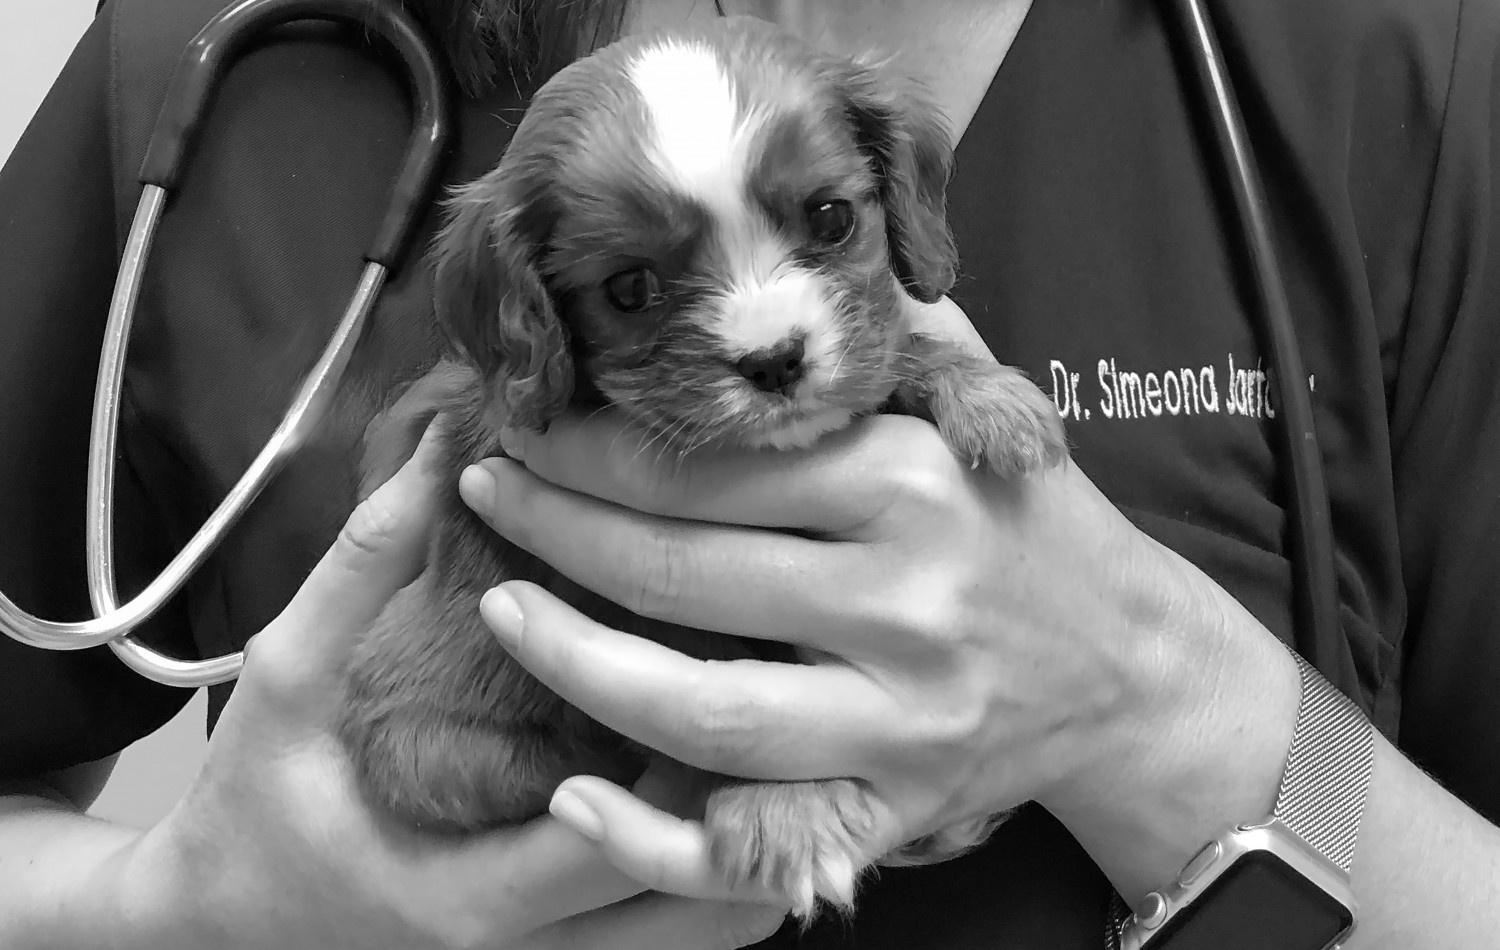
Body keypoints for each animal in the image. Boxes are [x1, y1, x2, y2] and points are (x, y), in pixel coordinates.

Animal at [340, 14, 1068, 918]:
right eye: (629, 289)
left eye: (831, 219)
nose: (775, 360)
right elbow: (729, 664)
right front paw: (782, 808)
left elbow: (893, 353)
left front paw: (987, 396)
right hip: (430, 740)